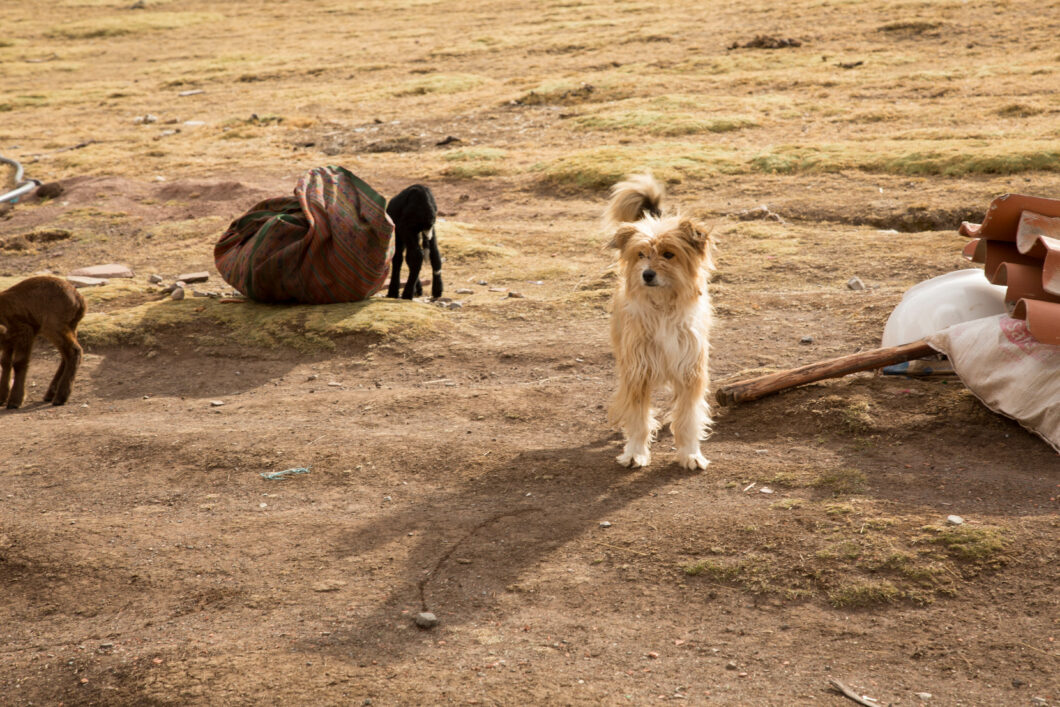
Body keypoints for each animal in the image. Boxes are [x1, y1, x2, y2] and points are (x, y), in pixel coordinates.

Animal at [602, 172, 716, 470]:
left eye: (668, 254)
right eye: (640, 254)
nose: (647, 274)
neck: (663, 308)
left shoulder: (690, 371)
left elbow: (688, 418)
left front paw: (691, 454)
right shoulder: (637, 370)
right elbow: (638, 418)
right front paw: (635, 452)